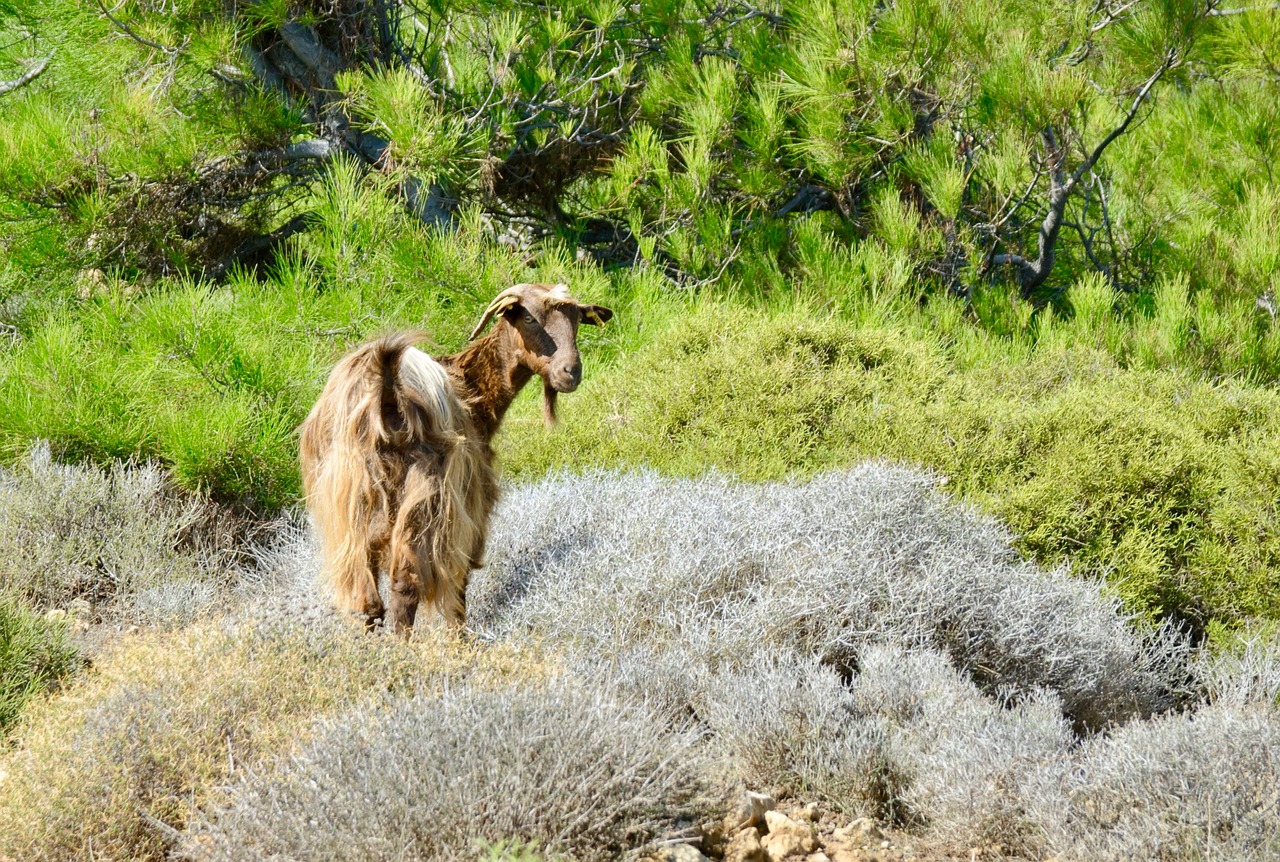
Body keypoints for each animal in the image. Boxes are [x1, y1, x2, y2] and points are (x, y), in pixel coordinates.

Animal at [296, 281, 611, 632]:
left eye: (577, 319)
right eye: (529, 318)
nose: (571, 372)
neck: (474, 390)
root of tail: (386, 393)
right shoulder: (469, 506)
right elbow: (458, 588)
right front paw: (459, 635)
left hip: (351, 504)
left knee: (367, 597)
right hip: (425, 497)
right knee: (405, 585)